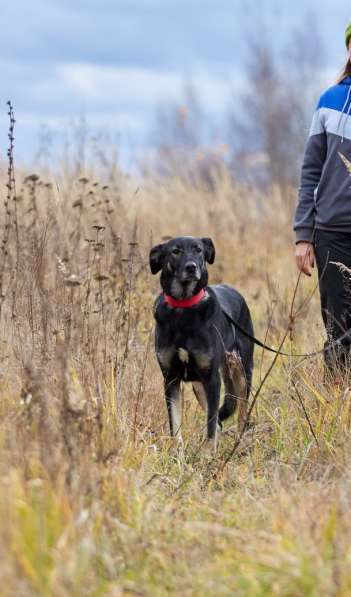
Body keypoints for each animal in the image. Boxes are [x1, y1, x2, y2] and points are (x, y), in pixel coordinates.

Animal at [150, 235, 254, 450]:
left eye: (198, 249)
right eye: (175, 251)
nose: (191, 267)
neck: (183, 307)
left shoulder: (212, 379)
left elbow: (211, 425)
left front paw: (207, 453)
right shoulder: (170, 378)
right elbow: (176, 425)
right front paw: (178, 453)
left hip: (241, 371)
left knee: (241, 412)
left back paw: (240, 445)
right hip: (199, 385)